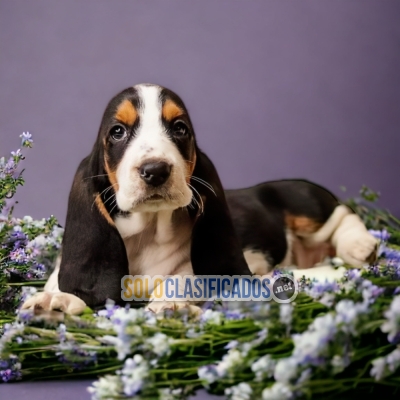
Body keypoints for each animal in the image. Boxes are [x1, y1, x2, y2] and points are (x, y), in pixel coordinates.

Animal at [21, 83, 378, 316]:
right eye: (117, 132)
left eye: (180, 128)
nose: (155, 170)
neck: (146, 235)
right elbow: (64, 286)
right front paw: (56, 301)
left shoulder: (195, 270)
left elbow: (184, 279)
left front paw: (170, 303)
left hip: (305, 203)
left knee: (343, 215)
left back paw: (359, 246)